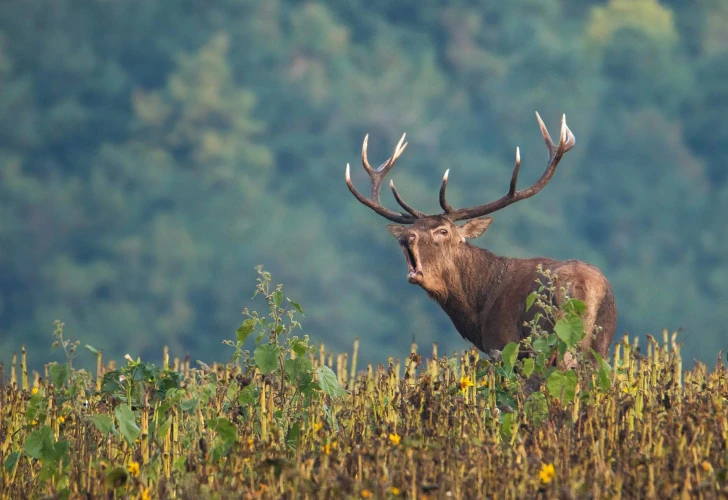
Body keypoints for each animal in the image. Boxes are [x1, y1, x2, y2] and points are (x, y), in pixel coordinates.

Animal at [345, 113, 617, 359]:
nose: (406, 237)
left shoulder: (504, 345)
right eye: (416, 227)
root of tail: (588, 289)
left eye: (442, 231)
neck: (478, 310)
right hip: (601, 344)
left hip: (553, 340)